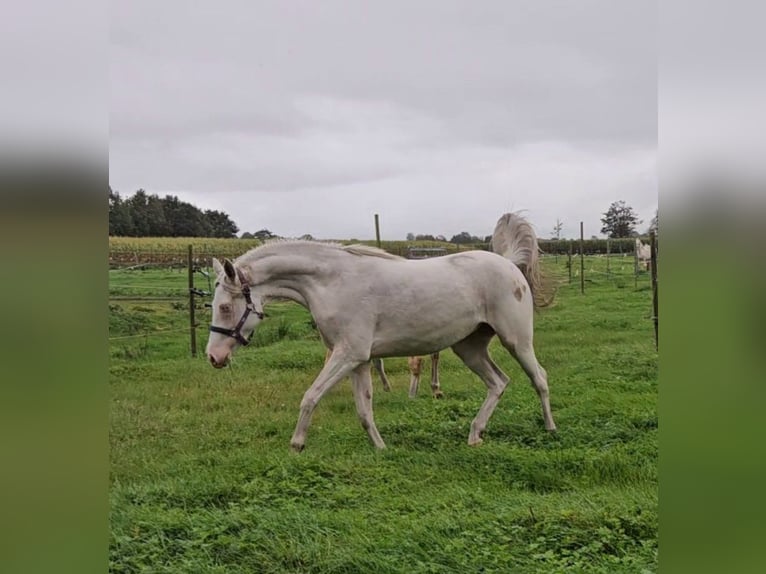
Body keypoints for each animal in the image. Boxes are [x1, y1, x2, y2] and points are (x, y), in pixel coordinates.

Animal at [208, 214, 560, 452]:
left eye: (224, 306)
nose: (214, 357)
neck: (333, 282)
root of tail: (509, 263)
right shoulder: (359, 361)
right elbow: (364, 409)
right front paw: (381, 447)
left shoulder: (348, 355)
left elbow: (311, 395)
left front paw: (296, 445)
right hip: (468, 348)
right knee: (498, 382)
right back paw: (475, 434)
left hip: (516, 341)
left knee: (540, 378)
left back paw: (550, 428)